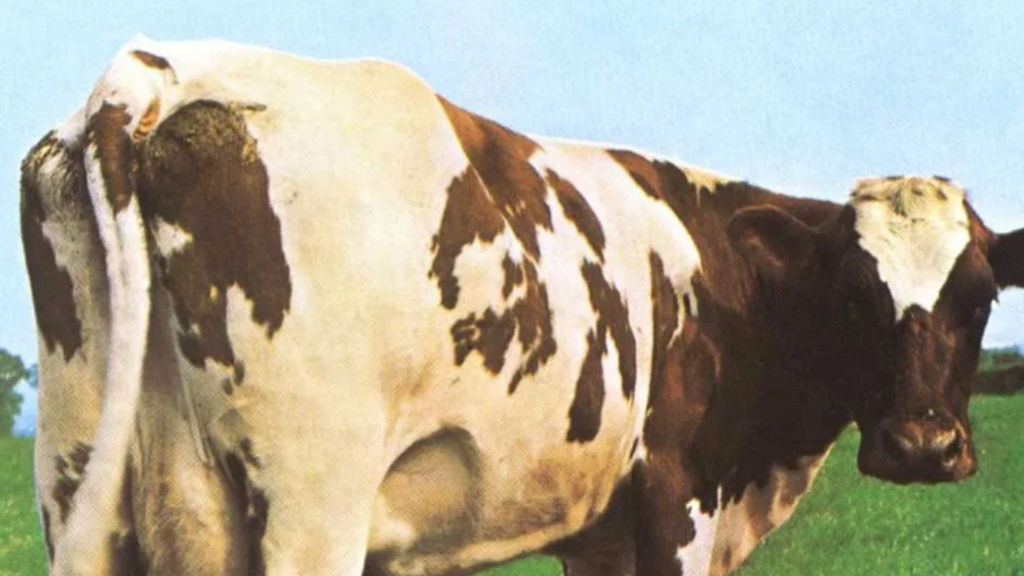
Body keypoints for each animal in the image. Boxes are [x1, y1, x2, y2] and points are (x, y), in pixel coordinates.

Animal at [20, 38, 1024, 576]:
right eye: (857, 296)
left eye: (979, 295)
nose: (924, 446)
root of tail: (158, 74)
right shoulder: (678, 501)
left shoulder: (600, 533)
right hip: (310, 504)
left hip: (79, 484)